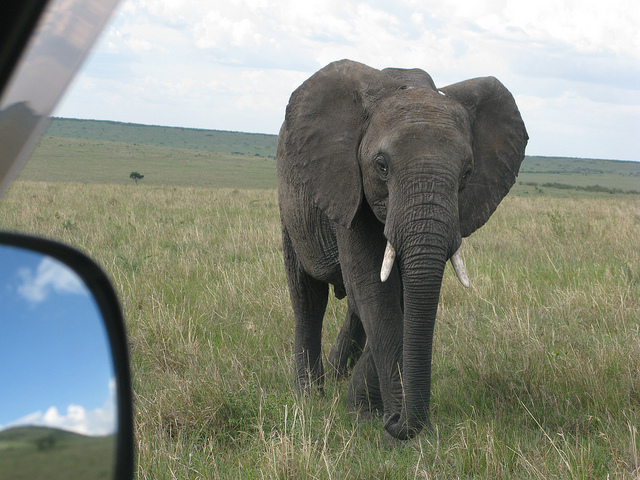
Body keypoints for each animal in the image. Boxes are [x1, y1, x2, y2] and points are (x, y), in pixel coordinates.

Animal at [276, 59, 528, 440]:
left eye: (467, 173)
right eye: (381, 166)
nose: (396, 424)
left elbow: (398, 296)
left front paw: (364, 410)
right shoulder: (346, 184)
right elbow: (374, 290)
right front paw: (384, 423)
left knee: (351, 305)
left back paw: (337, 377)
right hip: (290, 205)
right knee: (308, 295)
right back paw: (309, 393)